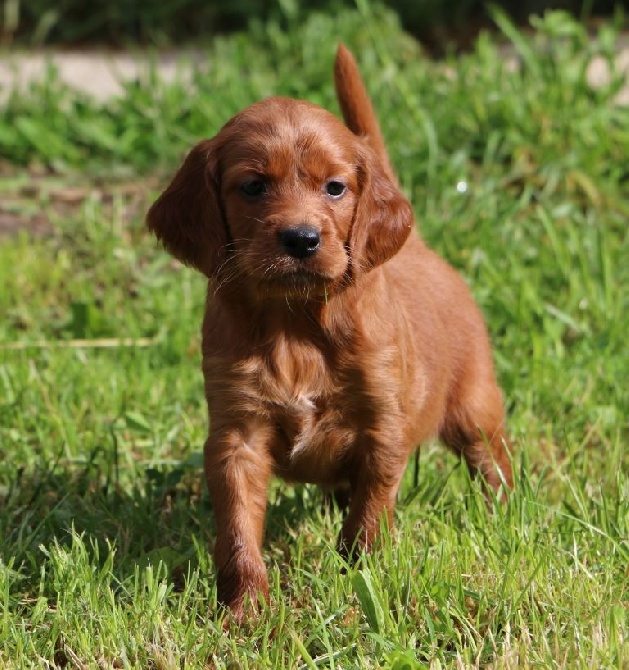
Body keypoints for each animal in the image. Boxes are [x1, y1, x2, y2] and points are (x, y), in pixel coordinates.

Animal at [147, 44, 510, 624]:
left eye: (335, 187)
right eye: (253, 186)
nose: (301, 238)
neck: (296, 321)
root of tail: (419, 245)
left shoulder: (383, 427)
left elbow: (369, 516)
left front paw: (360, 579)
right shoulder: (237, 436)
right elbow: (239, 530)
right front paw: (246, 611)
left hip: (474, 407)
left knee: (493, 463)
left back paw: (506, 516)